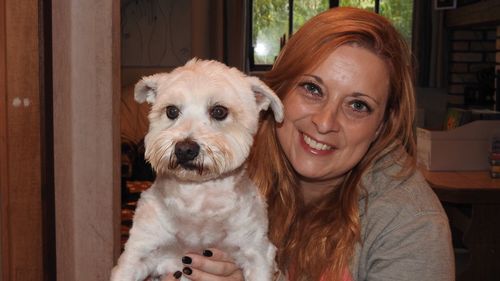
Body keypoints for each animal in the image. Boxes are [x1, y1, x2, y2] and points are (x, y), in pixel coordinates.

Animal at [111, 57, 284, 280]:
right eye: (171, 111)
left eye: (219, 111)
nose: (184, 149)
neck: (198, 198)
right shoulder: (138, 252)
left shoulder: (257, 254)